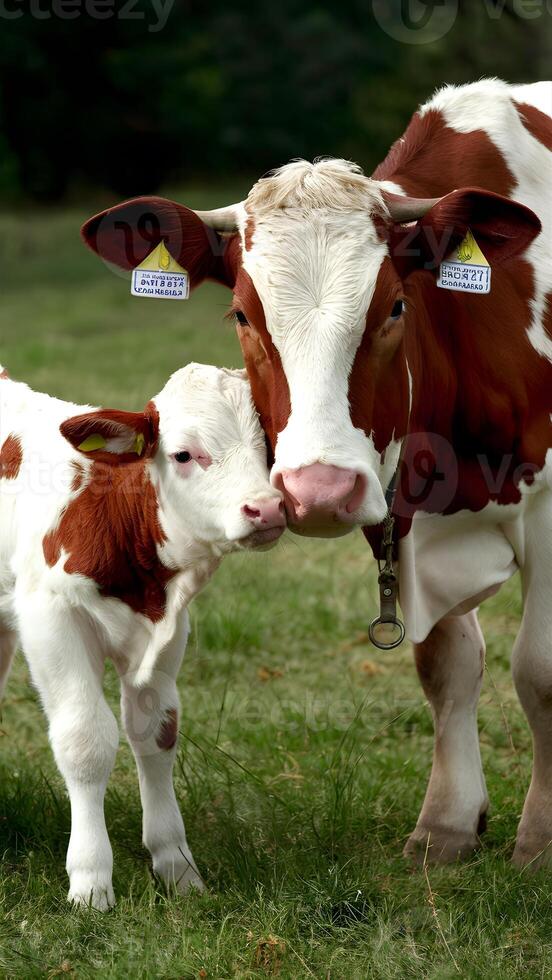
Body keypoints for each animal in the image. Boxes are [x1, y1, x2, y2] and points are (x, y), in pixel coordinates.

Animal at [0, 364, 284, 908]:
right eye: (184, 454)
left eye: (269, 448)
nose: (267, 508)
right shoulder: (50, 618)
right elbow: (85, 740)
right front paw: (90, 882)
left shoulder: (171, 631)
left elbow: (156, 735)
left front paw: (176, 865)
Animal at [82, 80, 552, 868]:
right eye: (242, 315)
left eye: (395, 306)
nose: (320, 493)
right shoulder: (403, 515)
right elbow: (448, 664)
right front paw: (448, 823)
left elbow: (539, 672)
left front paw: (541, 836)